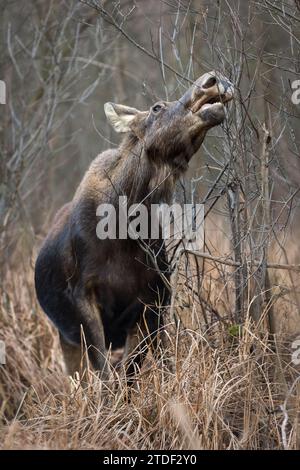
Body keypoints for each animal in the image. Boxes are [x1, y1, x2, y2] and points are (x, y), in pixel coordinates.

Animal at [35, 71, 234, 384]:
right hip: (65, 336)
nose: (211, 79)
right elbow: (106, 374)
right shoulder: (82, 295)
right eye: (156, 107)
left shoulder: (153, 300)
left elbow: (138, 370)